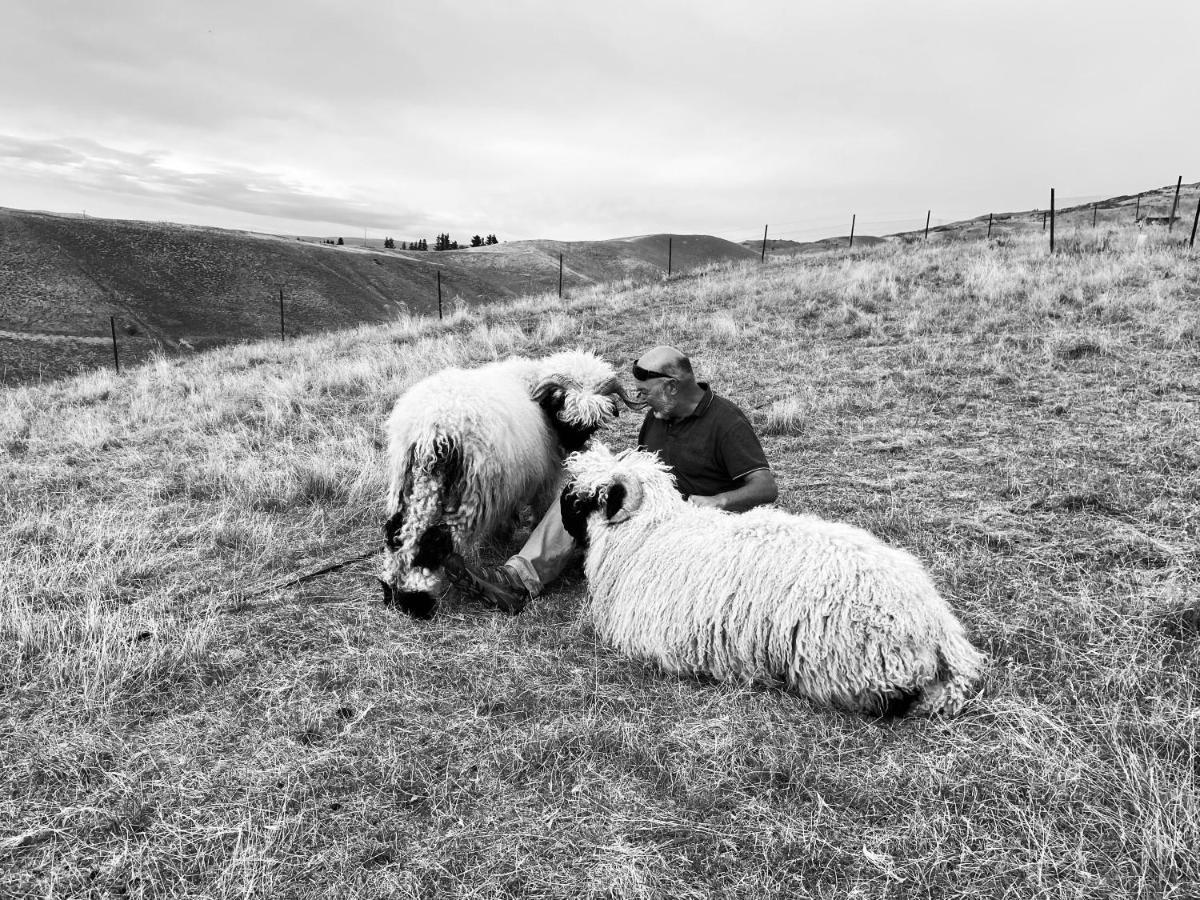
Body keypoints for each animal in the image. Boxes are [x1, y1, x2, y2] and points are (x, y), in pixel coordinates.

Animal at [379, 350, 638, 619]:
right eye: (564, 408)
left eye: (592, 424)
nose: (574, 450)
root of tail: (435, 429)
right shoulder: (541, 479)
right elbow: (539, 510)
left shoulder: (508, 483)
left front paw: (502, 534)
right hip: (470, 492)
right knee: (443, 537)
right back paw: (431, 592)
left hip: (409, 483)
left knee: (400, 532)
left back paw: (397, 590)